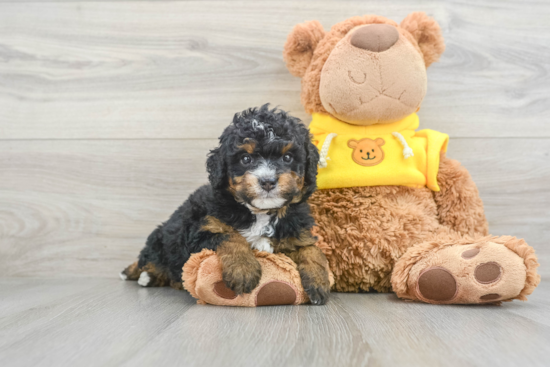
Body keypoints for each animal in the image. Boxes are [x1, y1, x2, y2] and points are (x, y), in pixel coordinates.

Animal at [122, 105, 332, 306]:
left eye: (287, 157)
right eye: (246, 159)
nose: (267, 181)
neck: (259, 212)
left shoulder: (297, 232)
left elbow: (312, 250)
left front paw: (319, 282)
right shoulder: (202, 229)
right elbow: (230, 236)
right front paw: (243, 270)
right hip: (159, 240)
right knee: (150, 260)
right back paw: (144, 275)